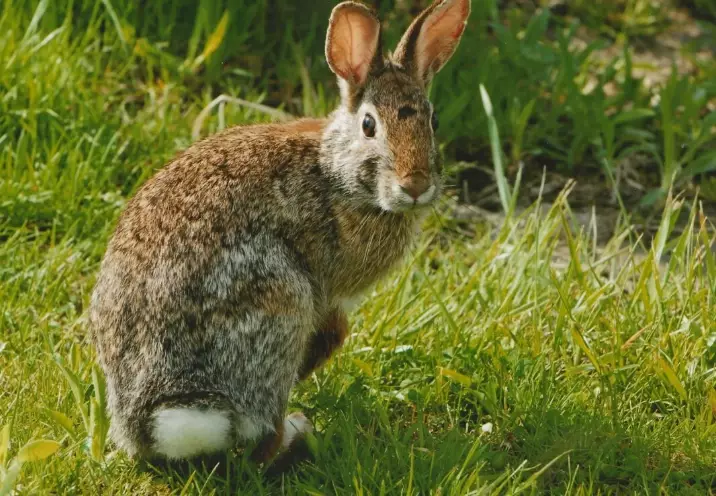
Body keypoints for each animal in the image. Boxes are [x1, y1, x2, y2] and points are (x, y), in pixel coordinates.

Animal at [89, 0, 470, 463]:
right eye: (369, 125)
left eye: (433, 120)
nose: (415, 185)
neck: (335, 173)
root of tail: (149, 423)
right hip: (278, 302)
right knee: (261, 439)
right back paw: (298, 431)